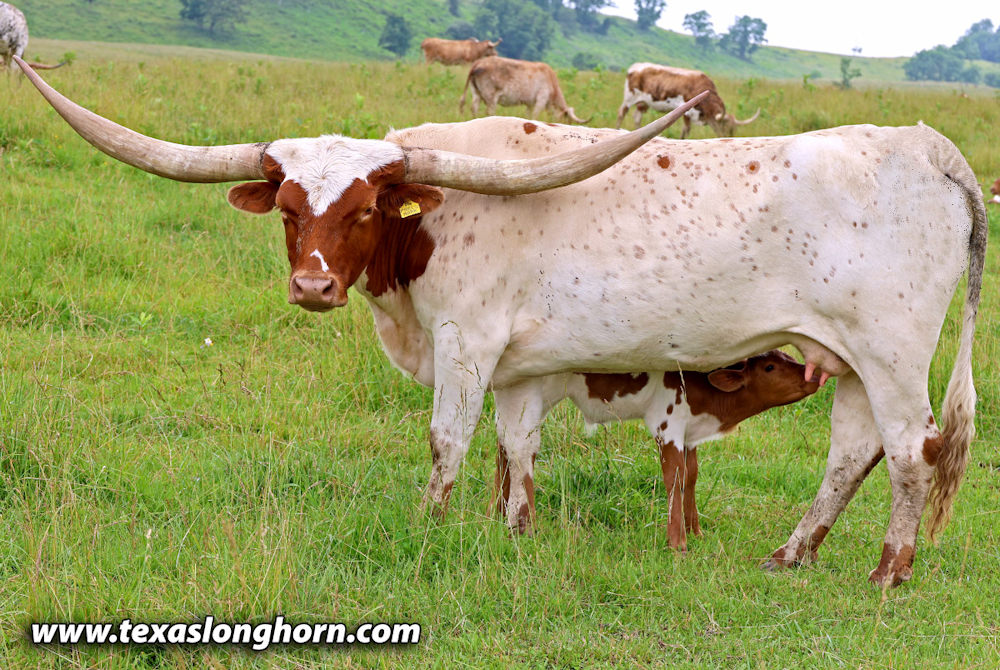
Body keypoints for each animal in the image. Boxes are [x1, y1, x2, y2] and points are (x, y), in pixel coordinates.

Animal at [460, 56, 589, 124]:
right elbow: (535, 116)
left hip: (476, 93)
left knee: (474, 108)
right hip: (491, 97)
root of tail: (478, 62)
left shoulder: (530, 103)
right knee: (489, 112)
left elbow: (528, 115)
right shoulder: (541, 99)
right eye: (567, 120)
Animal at [492, 350, 823, 549]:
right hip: (532, 394)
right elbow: (673, 476)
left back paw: (494, 513)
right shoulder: (667, 425)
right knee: (519, 446)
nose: (816, 375)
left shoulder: (689, 434)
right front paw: (678, 544)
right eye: (769, 367)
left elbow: (691, 476)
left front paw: (696, 532)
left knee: (504, 443)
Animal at [617, 62, 759, 139]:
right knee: (621, 113)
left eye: (733, 130)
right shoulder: (685, 110)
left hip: (643, 103)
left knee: (637, 117)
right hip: (629, 98)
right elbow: (686, 130)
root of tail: (636, 66)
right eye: (724, 126)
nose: (726, 138)